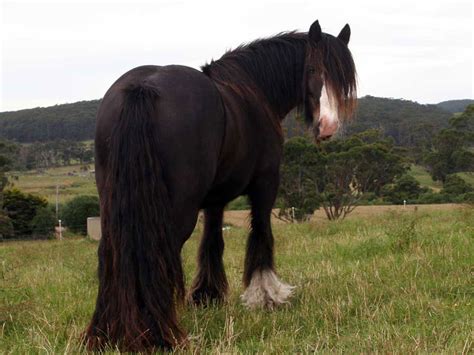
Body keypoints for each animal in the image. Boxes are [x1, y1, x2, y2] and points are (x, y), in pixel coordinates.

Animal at [85, 20, 358, 354]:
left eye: (343, 80)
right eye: (313, 69)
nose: (328, 127)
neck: (253, 90)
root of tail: (144, 88)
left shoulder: (215, 199)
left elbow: (212, 241)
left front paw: (208, 295)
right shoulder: (265, 184)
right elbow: (261, 233)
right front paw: (266, 295)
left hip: (113, 204)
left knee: (109, 251)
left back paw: (105, 333)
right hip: (176, 211)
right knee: (158, 253)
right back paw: (158, 335)